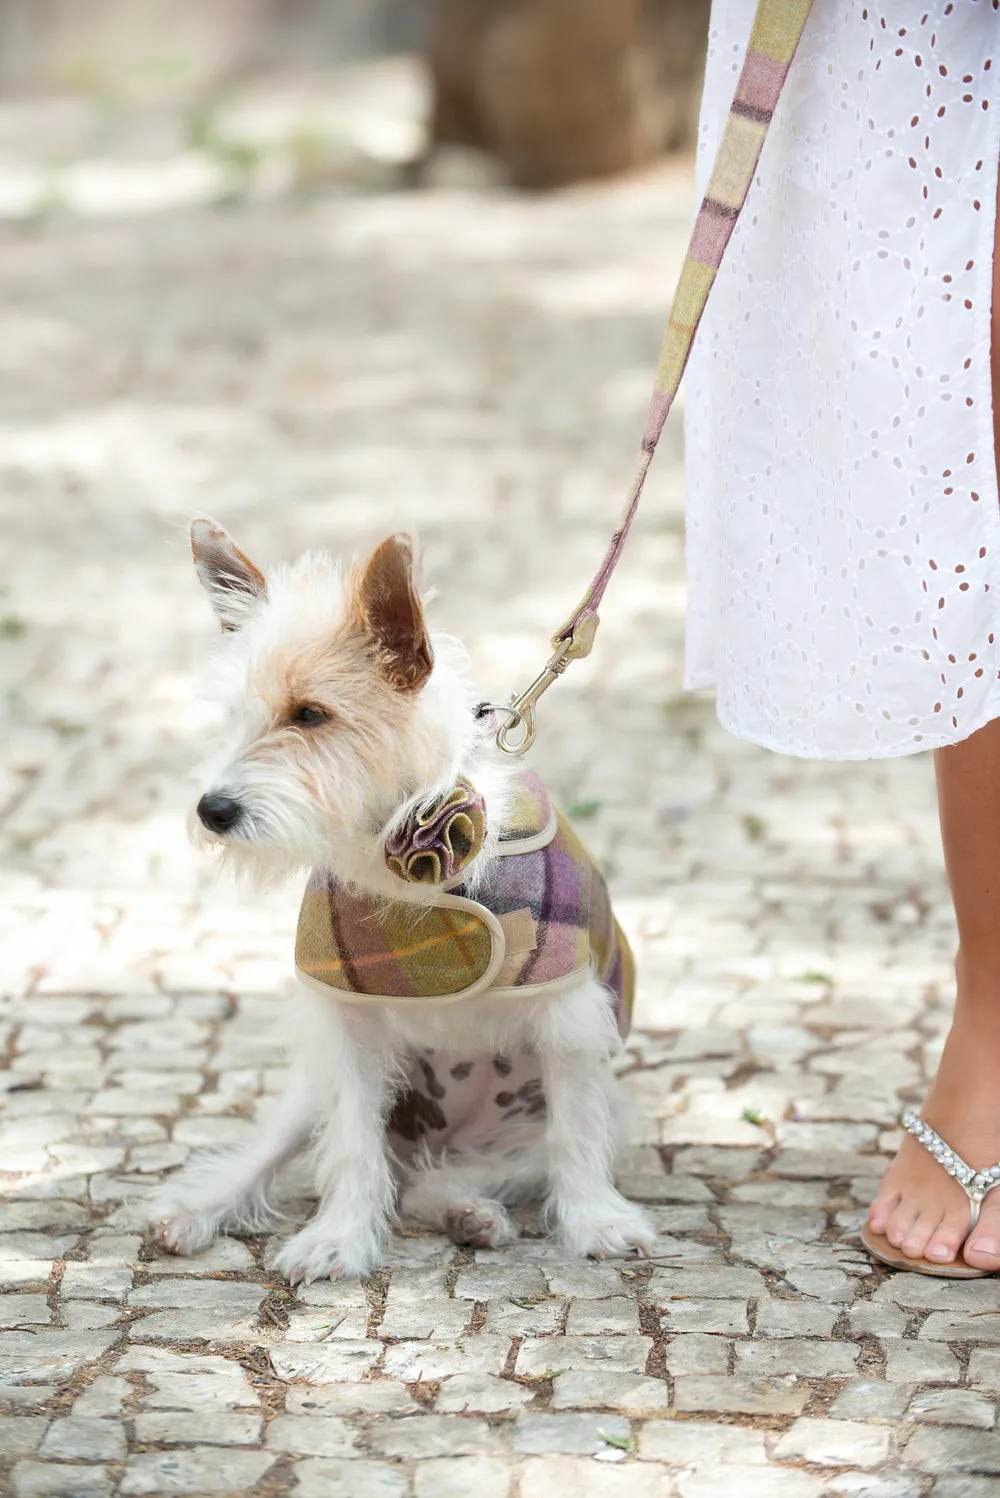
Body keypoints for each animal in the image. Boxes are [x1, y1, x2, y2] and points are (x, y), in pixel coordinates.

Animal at [152, 521, 655, 1282]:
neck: (402, 856)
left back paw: (470, 1212)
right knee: (283, 1153)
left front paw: (596, 1219)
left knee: (444, 1178)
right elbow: (352, 1147)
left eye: (310, 713)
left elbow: (575, 1136)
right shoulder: (348, 1031)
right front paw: (339, 1238)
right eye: (236, 716)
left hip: (548, 1123)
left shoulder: (568, 1020)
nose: (213, 811)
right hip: (312, 1091)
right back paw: (197, 1209)